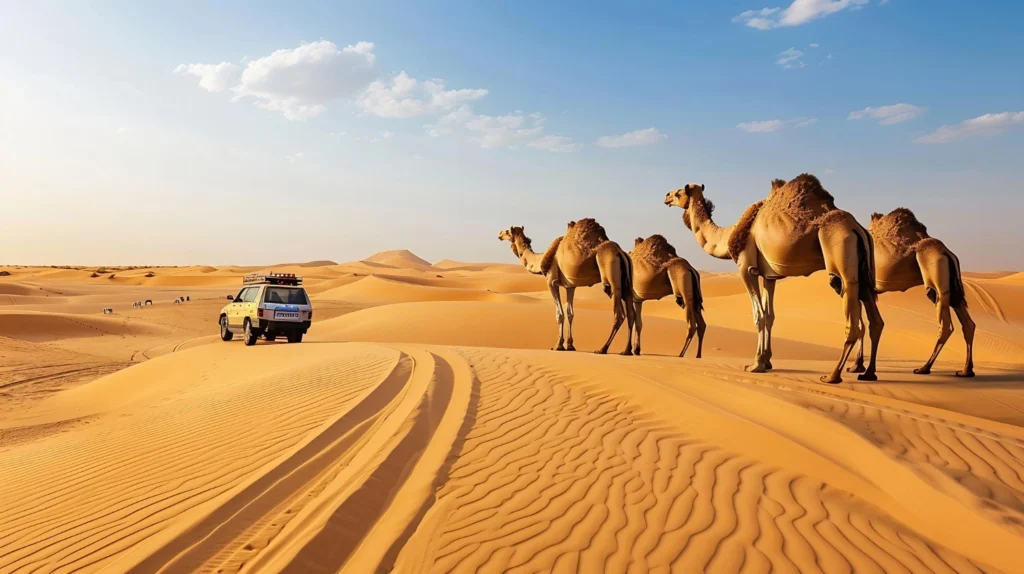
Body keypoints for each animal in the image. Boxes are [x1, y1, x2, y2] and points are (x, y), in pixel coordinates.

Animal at [498, 218, 635, 354]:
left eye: (507, 231)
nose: (499, 234)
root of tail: (620, 252)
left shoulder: (551, 281)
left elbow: (559, 314)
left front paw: (558, 345)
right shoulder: (570, 286)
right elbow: (570, 313)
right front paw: (569, 345)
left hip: (610, 274)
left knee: (619, 314)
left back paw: (602, 348)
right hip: (626, 283)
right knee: (631, 314)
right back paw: (626, 350)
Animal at [665, 174, 884, 384]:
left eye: (679, 192)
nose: (666, 196)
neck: (728, 236)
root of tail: (857, 228)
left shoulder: (746, 267)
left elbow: (759, 315)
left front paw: (755, 365)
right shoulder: (768, 275)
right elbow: (770, 316)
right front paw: (766, 361)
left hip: (841, 257)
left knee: (853, 321)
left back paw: (833, 376)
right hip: (863, 270)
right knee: (875, 320)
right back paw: (868, 373)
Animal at [847, 208, 974, 377]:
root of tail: (948, 253)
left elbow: (861, 324)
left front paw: (858, 367)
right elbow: (862, 324)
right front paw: (857, 366)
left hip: (936, 275)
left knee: (946, 325)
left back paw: (924, 368)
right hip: (953, 284)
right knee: (968, 324)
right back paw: (966, 370)